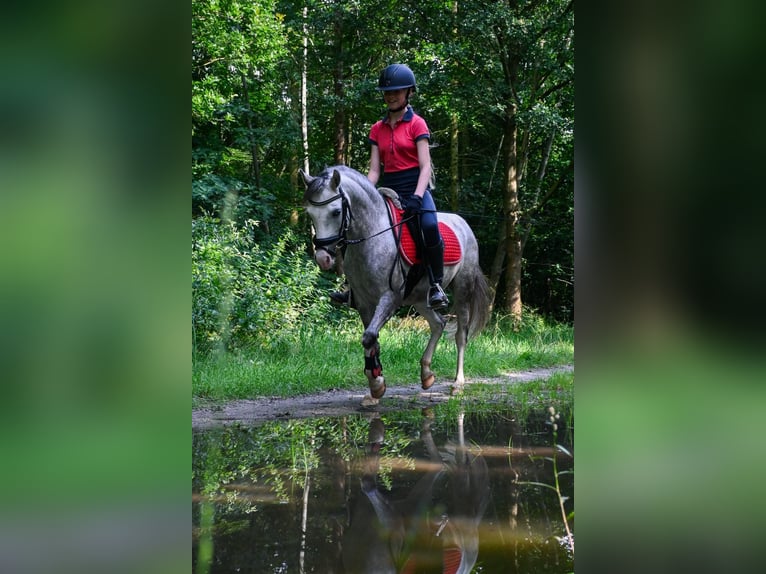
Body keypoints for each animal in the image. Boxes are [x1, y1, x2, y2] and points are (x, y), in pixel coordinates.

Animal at [302, 164, 492, 404]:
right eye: (310, 213)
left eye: (336, 212)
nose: (323, 258)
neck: (371, 234)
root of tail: (463, 223)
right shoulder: (363, 302)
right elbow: (371, 340)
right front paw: (374, 388)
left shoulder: (389, 297)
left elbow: (369, 337)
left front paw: (376, 384)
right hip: (419, 297)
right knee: (438, 324)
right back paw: (426, 374)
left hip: (462, 289)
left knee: (461, 335)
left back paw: (458, 384)